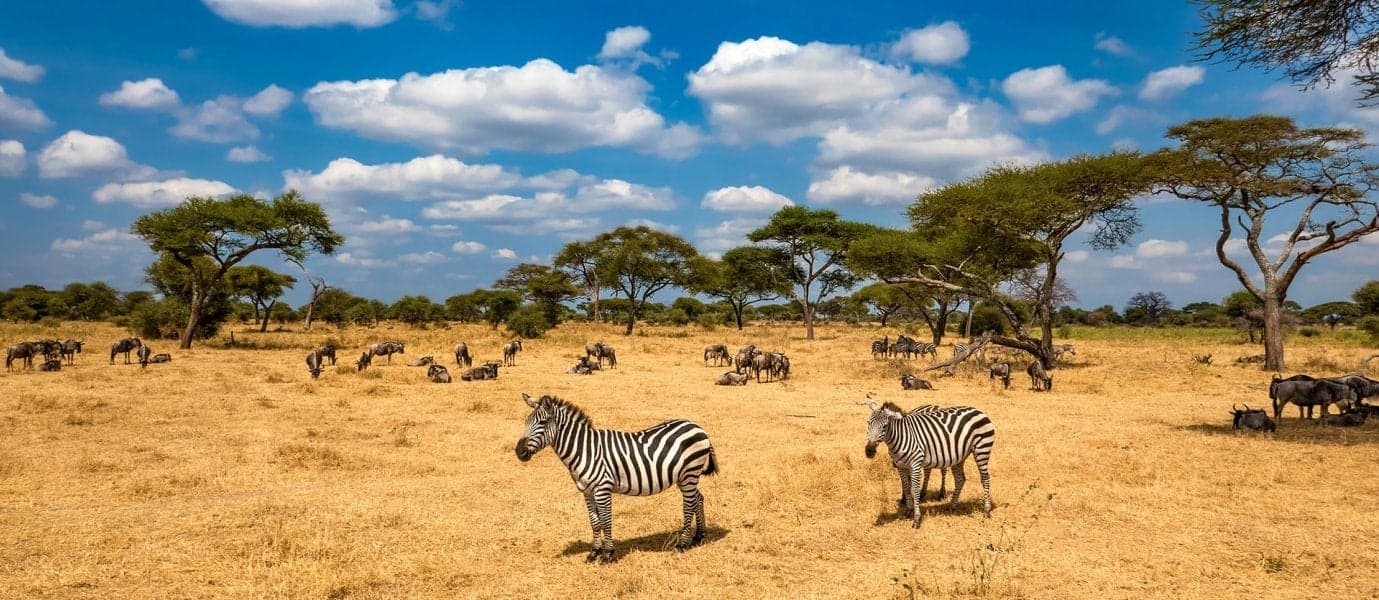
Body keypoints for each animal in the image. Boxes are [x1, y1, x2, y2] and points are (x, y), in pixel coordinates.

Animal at [515, 393, 718, 563]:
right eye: (526, 421)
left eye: (542, 422)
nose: (519, 452)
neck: (584, 450)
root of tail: (696, 426)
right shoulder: (587, 491)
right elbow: (594, 522)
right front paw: (594, 552)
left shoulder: (602, 489)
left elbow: (605, 520)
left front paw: (608, 555)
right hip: (684, 477)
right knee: (698, 498)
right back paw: (699, 536)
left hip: (690, 473)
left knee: (688, 505)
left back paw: (682, 544)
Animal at [864, 396, 995, 527]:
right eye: (868, 423)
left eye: (885, 426)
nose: (869, 450)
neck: (901, 437)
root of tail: (978, 410)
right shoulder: (901, 466)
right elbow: (906, 487)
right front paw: (908, 511)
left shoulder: (915, 464)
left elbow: (914, 489)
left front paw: (916, 519)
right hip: (959, 456)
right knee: (960, 480)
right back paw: (951, 506)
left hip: (982, 449)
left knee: (985, 478)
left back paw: (986, 511)